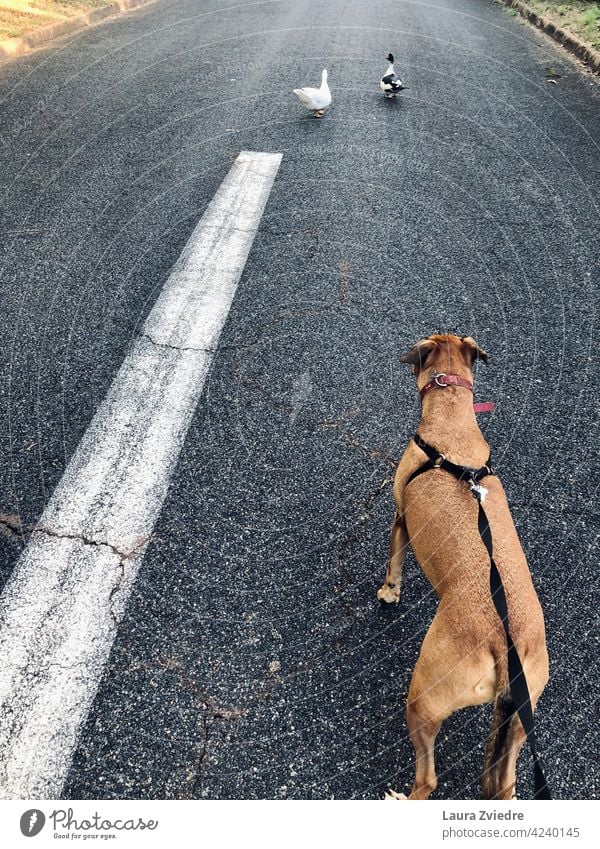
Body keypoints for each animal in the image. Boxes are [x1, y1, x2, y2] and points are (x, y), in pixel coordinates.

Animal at [380, 334, 548, 800]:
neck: (452, 423)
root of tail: (506, 645)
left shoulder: (401, 518)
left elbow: (394, 559)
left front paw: (388, 591)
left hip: (424, 698)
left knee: (428, 779)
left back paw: (403, 797)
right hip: (519, 716)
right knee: (504, 784)